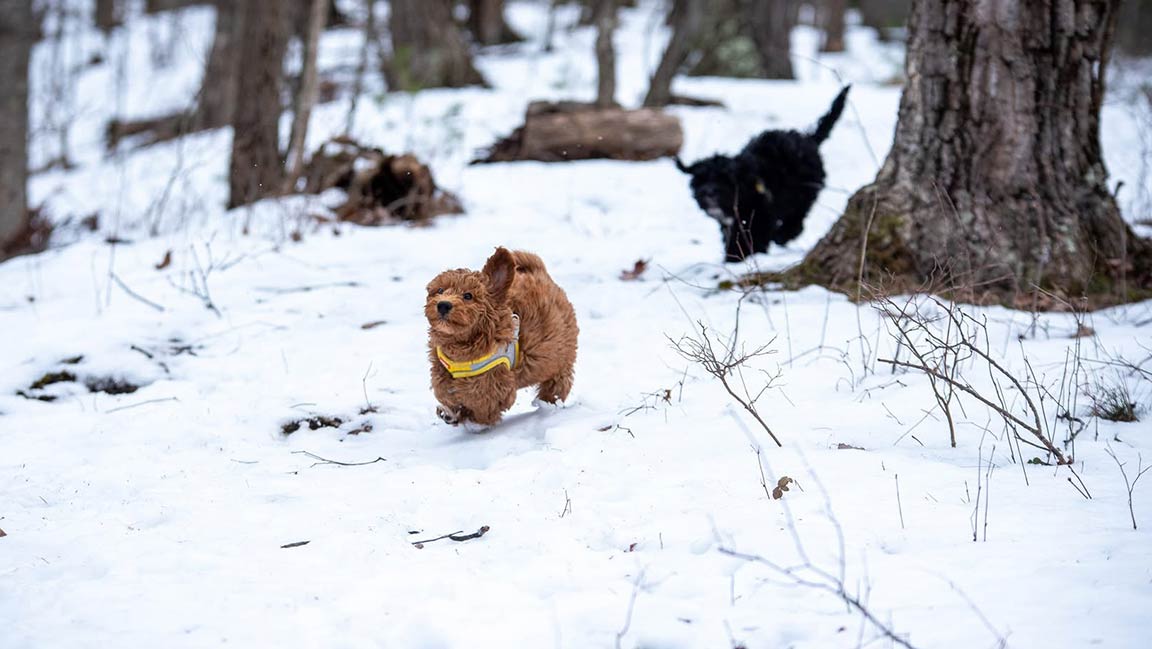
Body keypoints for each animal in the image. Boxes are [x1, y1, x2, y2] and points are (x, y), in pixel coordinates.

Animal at [428, 247, 580, 426]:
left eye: (468, 296)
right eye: (440, 290)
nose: (443, 304)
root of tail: (540, 272)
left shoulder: (497, 381)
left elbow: (480, 400)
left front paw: (468, 417)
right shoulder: (441, 365)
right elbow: (442, 388)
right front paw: (451, 410)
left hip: (560, 360)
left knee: (557, 385)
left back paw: (548, 403)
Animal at [677, 85, 852, 261]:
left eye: (725, 178)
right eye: (700, 180)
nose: (709, 192)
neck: (746, 185)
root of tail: (808, 139)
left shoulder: (759, 217)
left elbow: (751, 239)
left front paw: (739, 258)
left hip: (805, 192)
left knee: (797, 219)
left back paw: (782, 235)